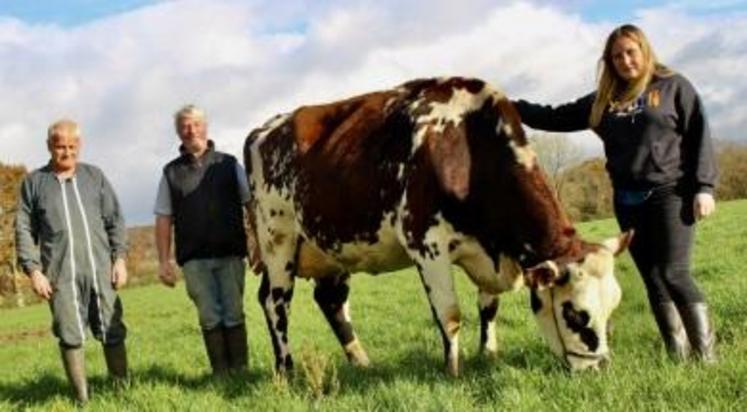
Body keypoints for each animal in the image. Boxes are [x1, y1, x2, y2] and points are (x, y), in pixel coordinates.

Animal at [245, 75, 632, 374]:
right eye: (576, 315)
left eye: (613, 306)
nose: (598, 368)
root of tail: (264, 129)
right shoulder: (425, 243)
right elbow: (450, 315)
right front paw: (453, 371)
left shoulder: (489, 247)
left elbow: (488, 306)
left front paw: (488, 354)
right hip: (278, 241)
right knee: (276, 302)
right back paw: (287, 370)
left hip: (333, 245)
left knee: (330, 300)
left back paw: (361, 361)